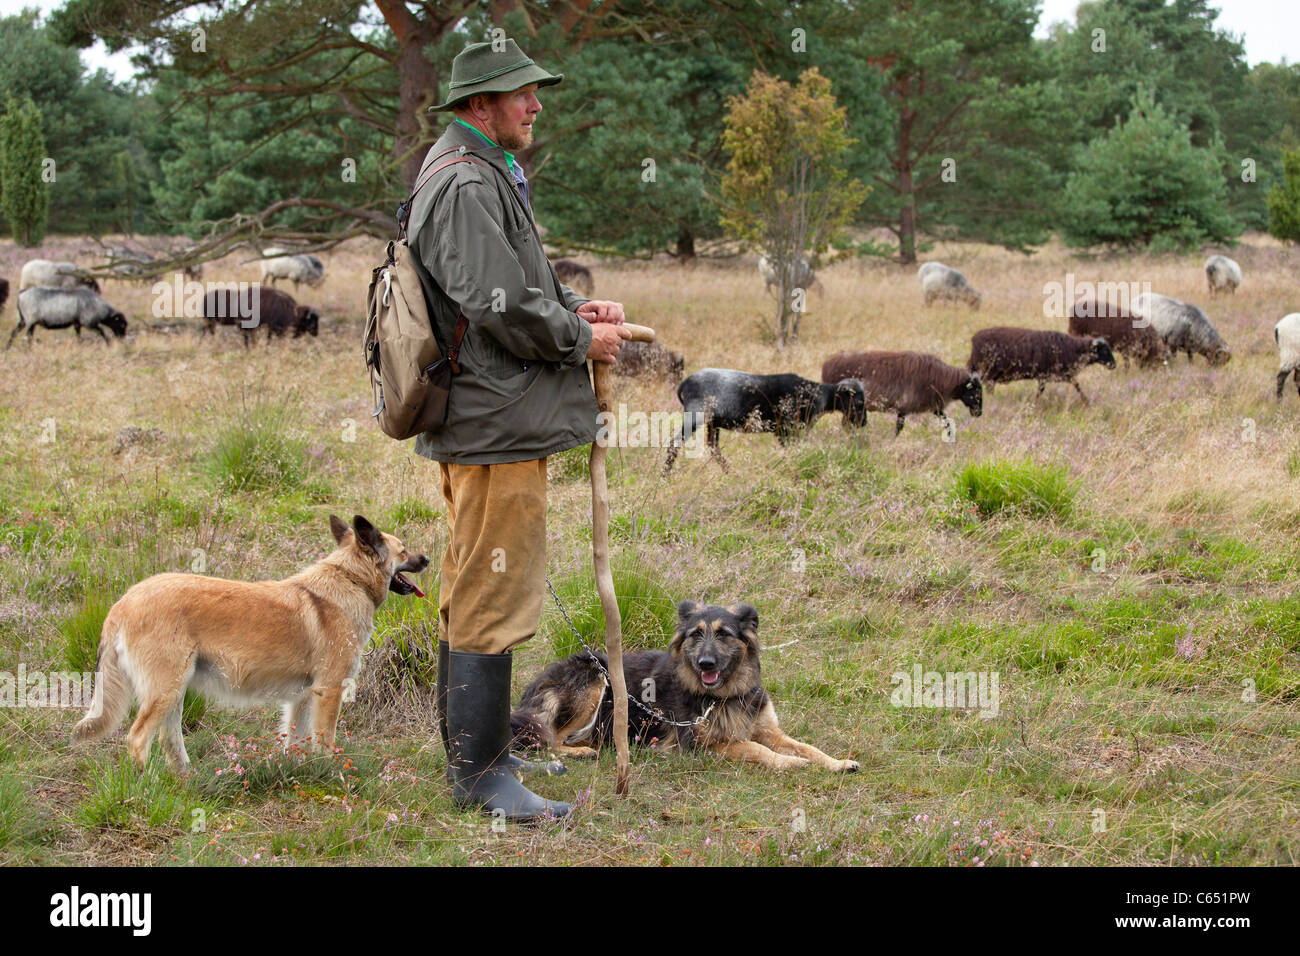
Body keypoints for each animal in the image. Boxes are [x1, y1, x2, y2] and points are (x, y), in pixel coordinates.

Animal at [670, 369, 863, 473]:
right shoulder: (786, 429)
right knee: (674, 444)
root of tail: (686, 383)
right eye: (859, 402)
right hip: (695, 416)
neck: (816, 395)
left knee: (713, 448)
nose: (863, 423)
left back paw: (730, 472)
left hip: (712, 422)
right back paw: (666, 477)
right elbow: (792, 450)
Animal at [821, 348, 982, 434]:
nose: (979, 413)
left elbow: (946, 420)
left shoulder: (930, 407)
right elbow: (899, 428)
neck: (942, 379)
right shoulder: (906, 406)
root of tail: (827, 365)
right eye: (975, 392)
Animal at [967, 327, 1118, 405]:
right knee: (986, 386)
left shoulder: (1055, 376)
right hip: (988, 370)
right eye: (1105, 350)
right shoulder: (1049, 374)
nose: (1114, 365)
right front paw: (1087, 402)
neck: (1073, 349)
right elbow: (1076, 385)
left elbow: (1075, 385)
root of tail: (974, 339)